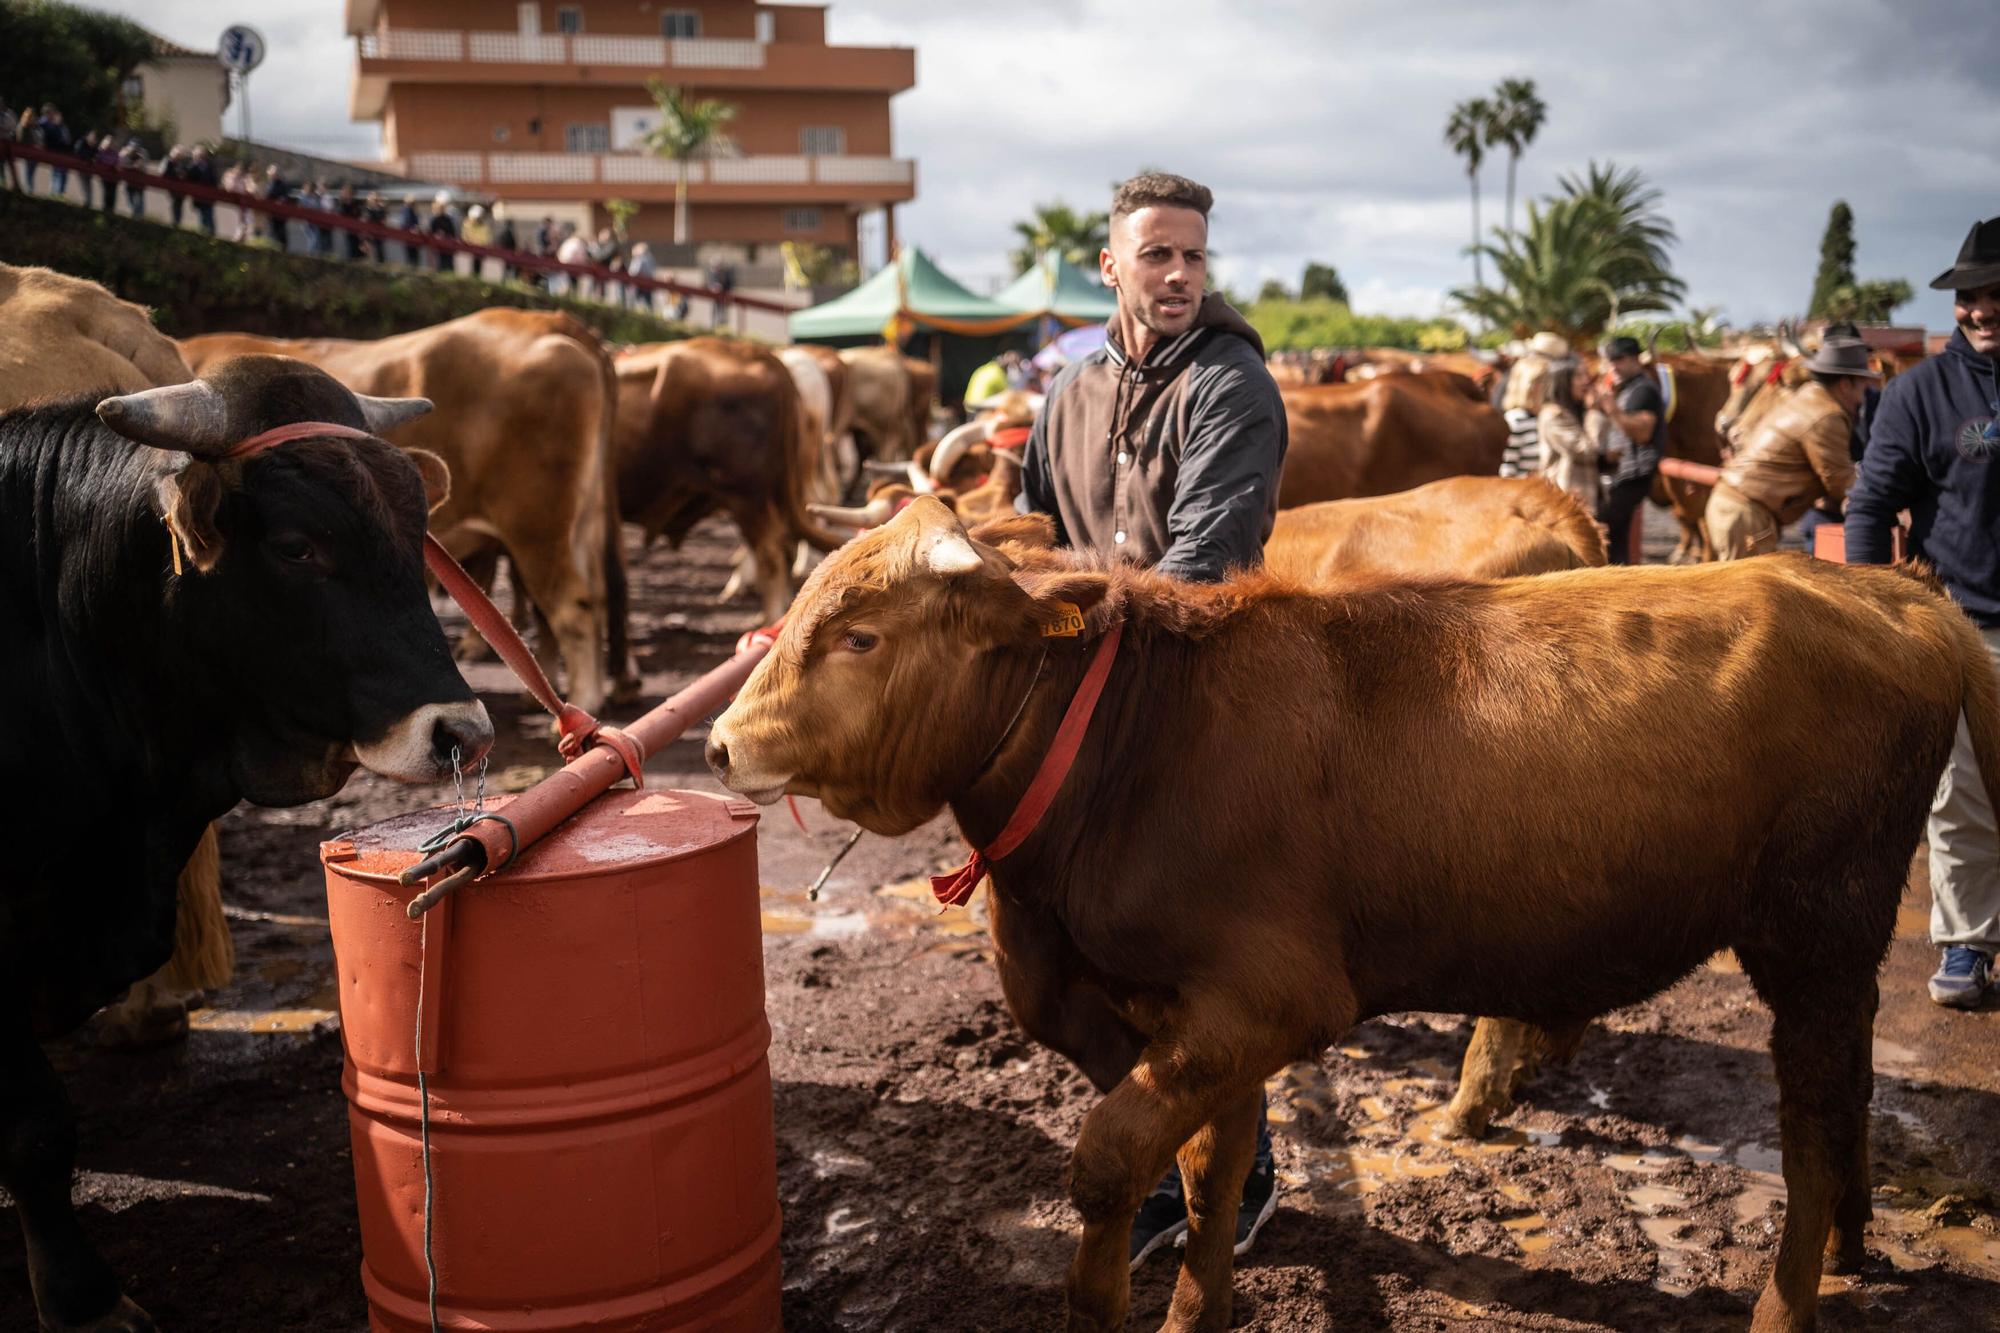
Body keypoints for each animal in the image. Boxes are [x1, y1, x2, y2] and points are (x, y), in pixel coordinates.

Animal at [708, 496, 2000, 1328]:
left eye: (861, 633)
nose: (718, 741)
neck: (1138, 748)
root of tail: (1884, 588)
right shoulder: (1190, 1022)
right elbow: (1209, 1167)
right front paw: (1197, 1305)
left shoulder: (1274, 999)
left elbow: (1109, 1161)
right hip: (1834, 951)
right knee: (1846, 1090)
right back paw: (1853, 1250)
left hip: (1812, 932)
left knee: (1806, 1121)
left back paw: (1787, 1297)